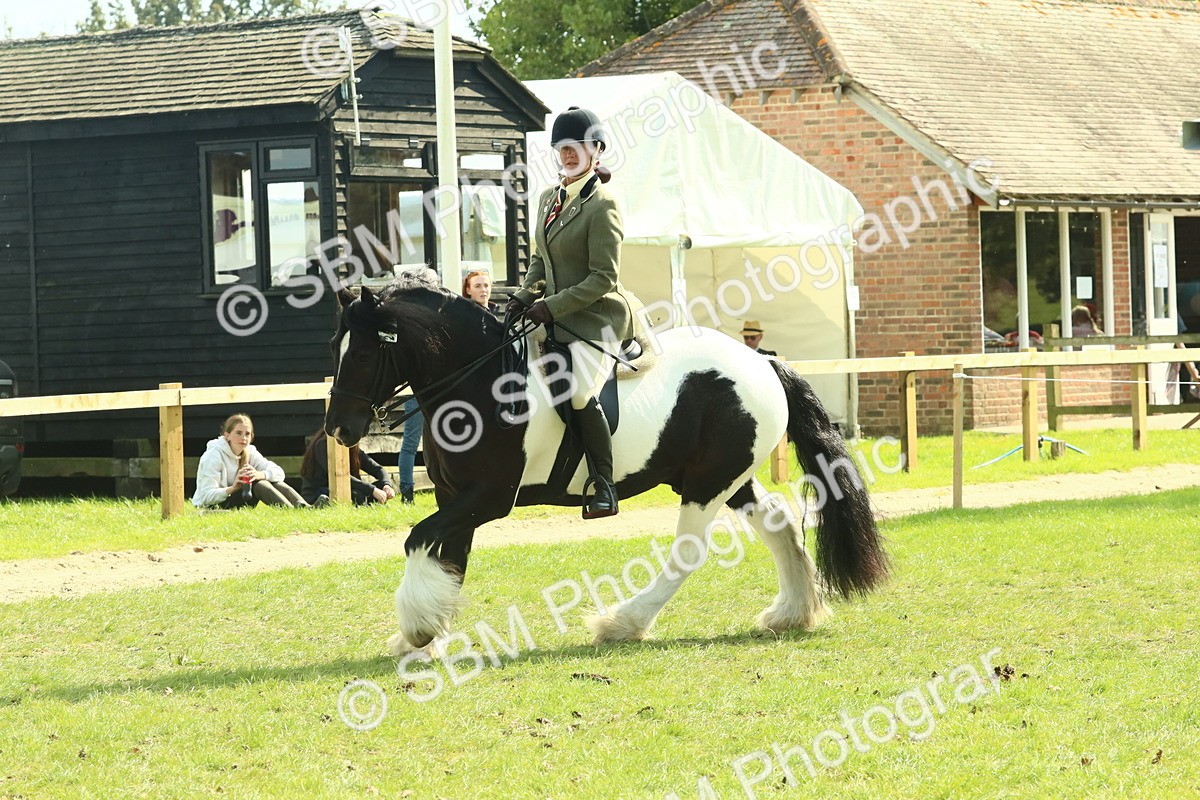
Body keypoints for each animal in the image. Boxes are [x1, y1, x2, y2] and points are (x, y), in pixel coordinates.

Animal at [325, 283, 888, 655]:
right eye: (336, 349)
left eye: (366, 354)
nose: (338, 430)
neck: (481, 381)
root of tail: (762, 362)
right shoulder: (455, 497)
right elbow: (451, 559)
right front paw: (428, 636)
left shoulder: (489, 497)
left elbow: (418, 538)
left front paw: (418, 630)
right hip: (727, 478)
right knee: (779, 523)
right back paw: (793, 613)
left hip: (706, 485)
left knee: (689, 552)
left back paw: (623, 623)